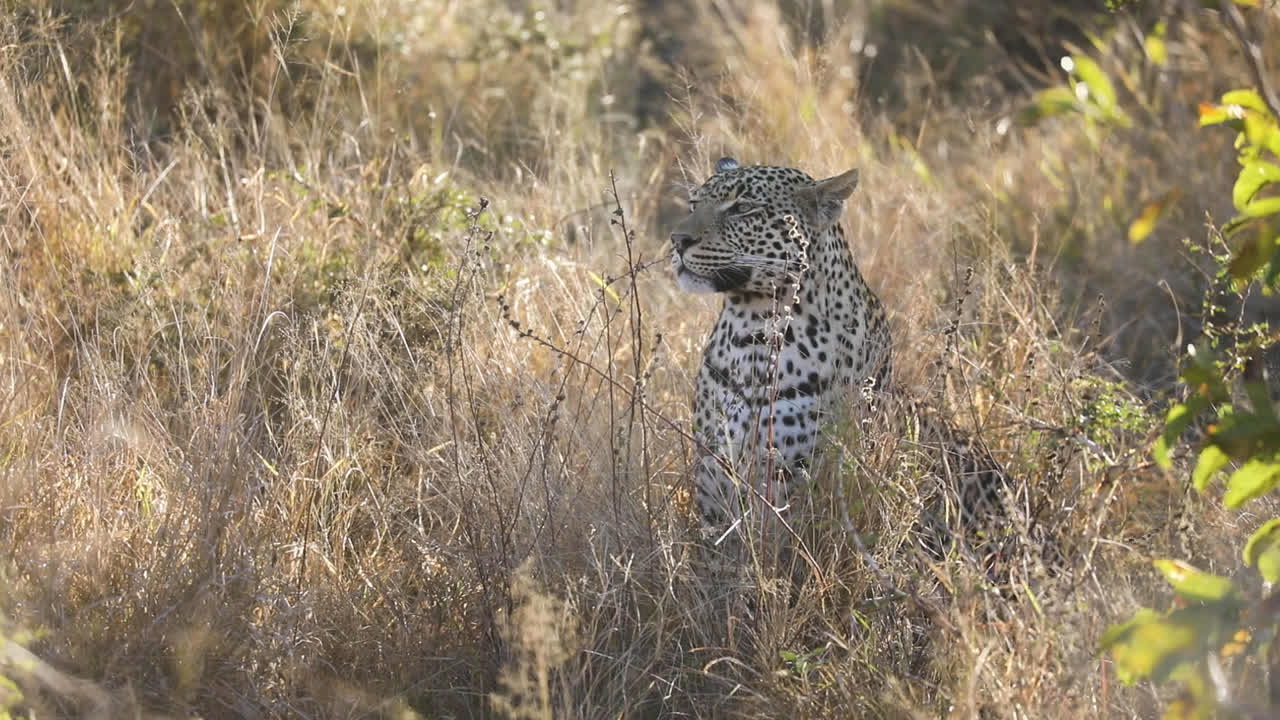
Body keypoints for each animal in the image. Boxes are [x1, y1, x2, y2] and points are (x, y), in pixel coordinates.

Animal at [670, 157, 1009, 561]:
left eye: (742, 208)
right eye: (693, 204)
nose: (677, 240)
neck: (750, 332)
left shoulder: (794, 481)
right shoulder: (713, 476)